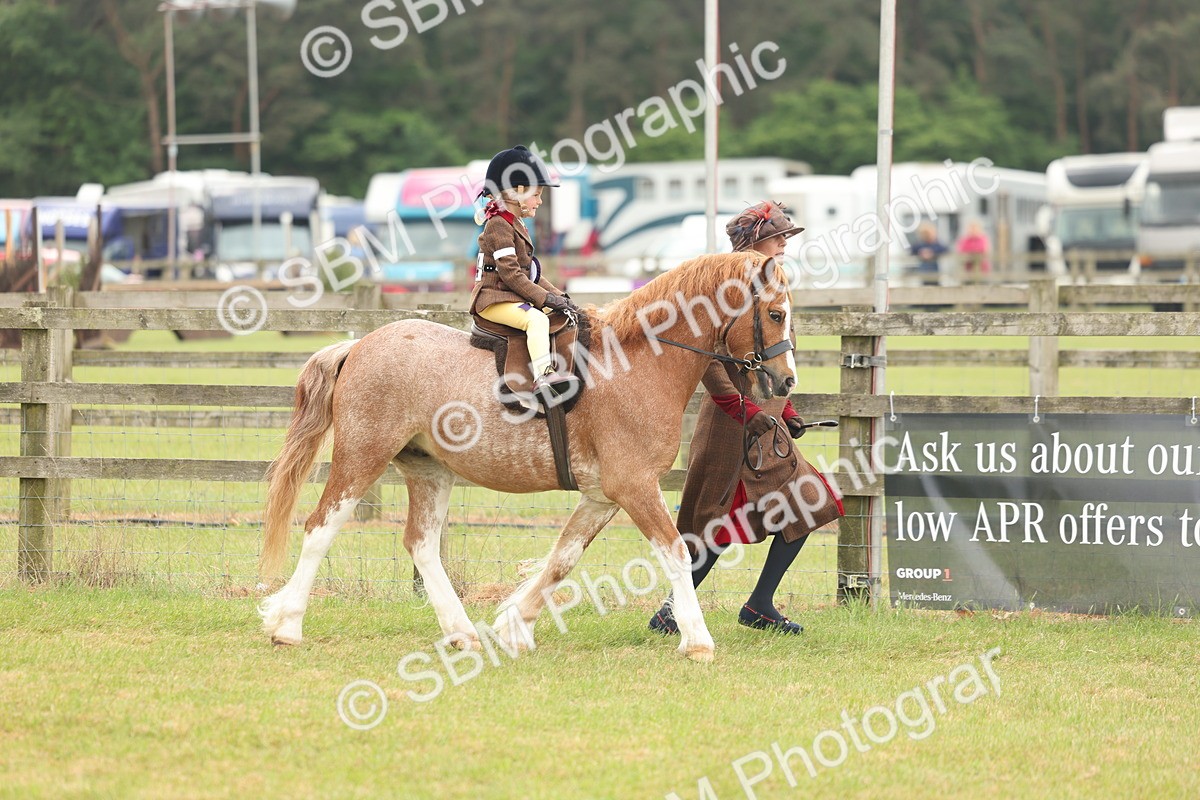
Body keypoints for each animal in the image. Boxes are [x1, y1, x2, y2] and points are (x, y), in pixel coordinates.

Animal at [257, 251, 797, 662]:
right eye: (775, 314)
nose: (787, 381)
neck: (639, 361)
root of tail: (358, 346)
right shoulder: (635, 487)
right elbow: (677, 553)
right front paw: (697, 640)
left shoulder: (602, 496)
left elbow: (562, 560)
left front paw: (514, 626)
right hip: (362, 457)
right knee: (320, 528)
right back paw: (287, 625)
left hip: (429, 470)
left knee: (422, 545)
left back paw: (462, 633)